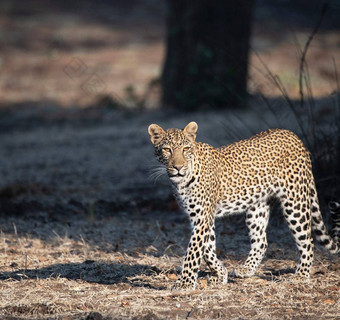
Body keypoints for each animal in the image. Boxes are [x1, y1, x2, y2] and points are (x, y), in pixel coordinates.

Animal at [148, 120, 340, 290]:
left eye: (185, 149)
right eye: (167, 149)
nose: (178, 167)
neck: (182, 181)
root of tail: (295, 137)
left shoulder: (202, 218)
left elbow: (193, 251)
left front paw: (185, 283)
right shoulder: (200, 217)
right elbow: (208, 249)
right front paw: (220, 274)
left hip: (295, 202)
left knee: (307, 239)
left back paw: (300, 275)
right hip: (257, 207)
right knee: (261, 241)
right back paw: (246, 269)